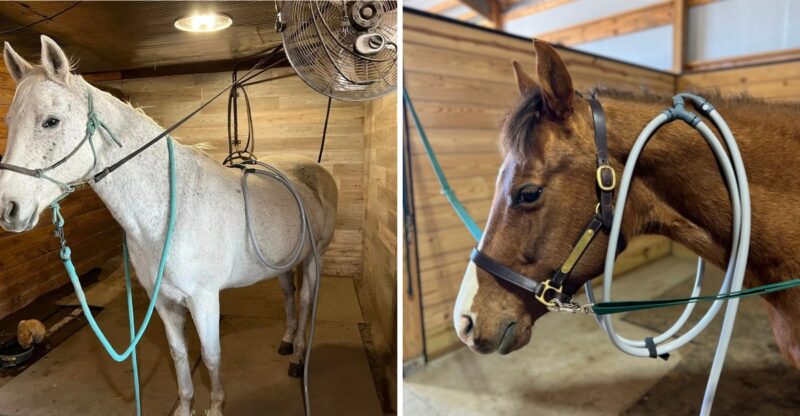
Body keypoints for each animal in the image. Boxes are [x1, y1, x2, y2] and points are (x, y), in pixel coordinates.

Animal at [0, 36, 338, 416]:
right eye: (9, 120)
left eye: (51, 121)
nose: (8, 208)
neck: (170, 213)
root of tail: (315, 169)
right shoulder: (162, 301)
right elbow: (179, 356)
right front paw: (184, 406)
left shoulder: (204, 299)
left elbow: (211, 356)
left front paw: (215, 407)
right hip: (283, 262)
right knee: (289, 295)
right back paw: (287, 340)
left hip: (315, 257)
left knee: (307, 301)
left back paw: (297, 358)